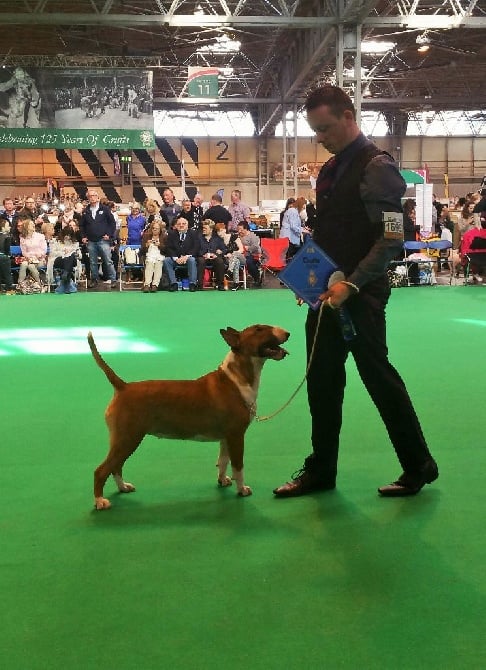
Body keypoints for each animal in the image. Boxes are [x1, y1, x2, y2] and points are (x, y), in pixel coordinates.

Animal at [87, 326, 288, 510]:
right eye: (259, 329)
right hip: (128, 438)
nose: (287, 333)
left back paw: (123, 487)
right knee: (101, 470)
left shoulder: (226, 437)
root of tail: (123, 387)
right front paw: (242, 490)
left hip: (124, 439)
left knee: (116, 466)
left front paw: (222, 481)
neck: (236, 379)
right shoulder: (236, 436)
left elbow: (223, 460)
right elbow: (238, 466)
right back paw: (100, 501)